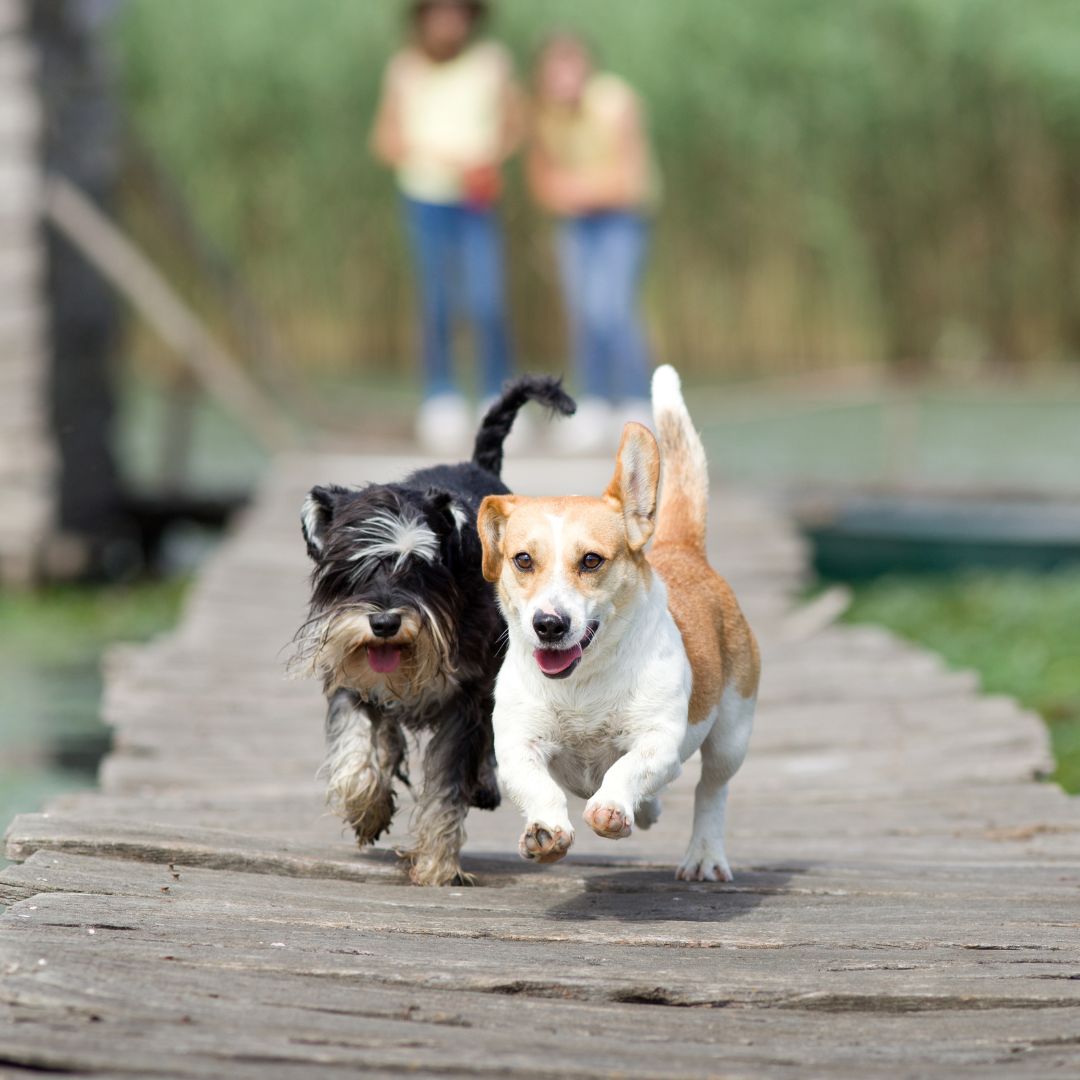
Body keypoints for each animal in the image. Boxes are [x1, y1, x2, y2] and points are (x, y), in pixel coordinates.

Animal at [287, 380, 574, 885]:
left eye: (422, 567)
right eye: (349, 567)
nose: (384, 623)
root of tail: (477, 465)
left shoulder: (464, 699)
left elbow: (446, 782)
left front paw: (437, 863)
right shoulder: (349, 679)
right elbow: (355, 749)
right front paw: (367, 808)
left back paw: (483, 783)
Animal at [477, 367, 756, 881]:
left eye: (591, 560)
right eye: (523, 560)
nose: (549, 624)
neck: (582, 684)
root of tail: (682, 548)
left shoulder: (658, 741)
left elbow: (625, 771)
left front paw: (611, 807)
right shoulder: (516, 745)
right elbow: (538, 786)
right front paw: (545, 830)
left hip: (732, 734)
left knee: (710, 789)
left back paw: (704, 853)